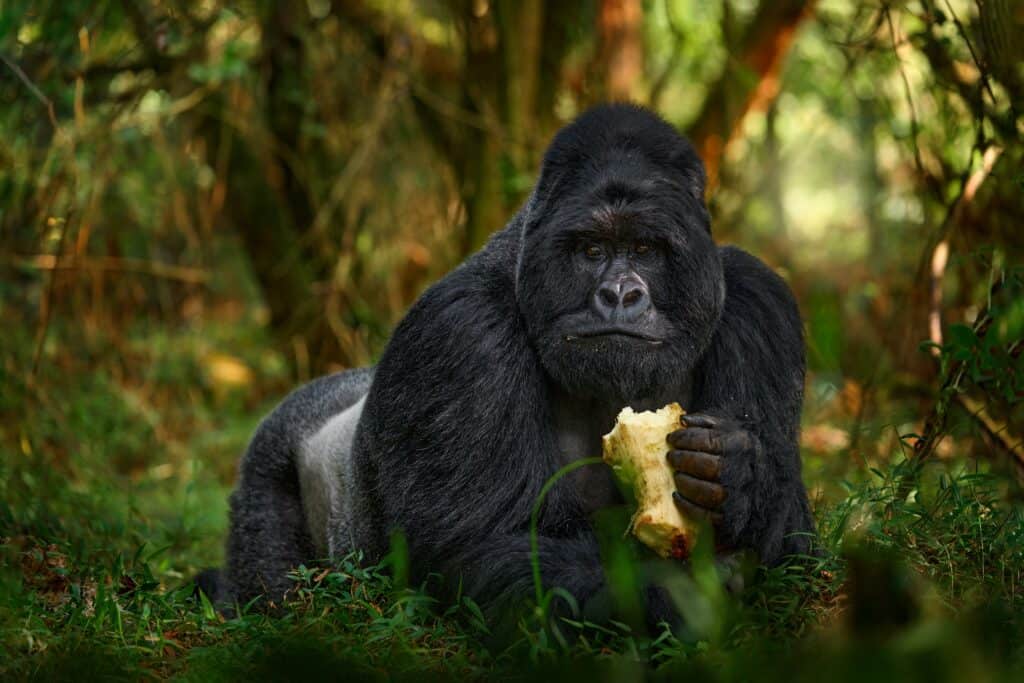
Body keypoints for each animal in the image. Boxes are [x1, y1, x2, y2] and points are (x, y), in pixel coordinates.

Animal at [197, 102, 815, 630]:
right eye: (591, 250)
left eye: (645, 249)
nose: (619, 294)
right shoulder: (459, 332)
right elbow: (489, 548)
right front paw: (676, 595)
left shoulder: (760, 305)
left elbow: (796, 547)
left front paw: (739, 473)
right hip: (266, 465)